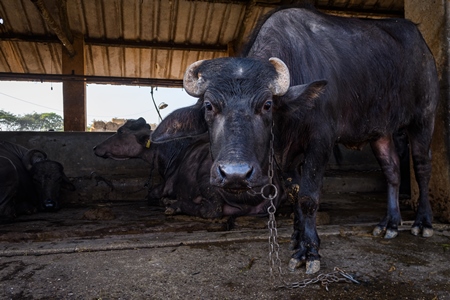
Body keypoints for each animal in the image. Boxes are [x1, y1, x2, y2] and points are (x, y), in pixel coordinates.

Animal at [93, 117, 286, 218]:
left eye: (120, 132)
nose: (95, 147)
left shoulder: (168, 184)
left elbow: (152, 193)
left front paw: (165, 200)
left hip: (207, 178)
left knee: (211, 210)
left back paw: (174, 205)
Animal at [153, 6, 442, 274]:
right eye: (209, 106)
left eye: (267, 105)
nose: (235, 174)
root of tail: (424, 48)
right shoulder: (285, 155)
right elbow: (294, 196)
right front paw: (297, 240)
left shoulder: (320, 143)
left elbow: (308, 198)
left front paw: (310, 251)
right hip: (381, 130)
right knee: (392, 169)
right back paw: (389, 224)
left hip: (424, 117)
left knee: (421, 166)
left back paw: (422, 223)